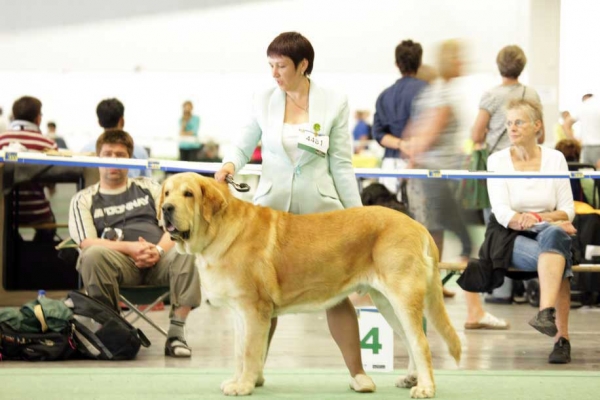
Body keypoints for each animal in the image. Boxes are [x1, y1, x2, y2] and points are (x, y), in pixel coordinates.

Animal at [158, 173, 460, 398]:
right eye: (166, 192)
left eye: (188, 194)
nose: (165, 209)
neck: (218, 230)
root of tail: (418, 226)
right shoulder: (239, 313)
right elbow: (239, 351)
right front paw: (237, 380)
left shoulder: (253, 309)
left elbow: (250, 351)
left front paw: (243, 386)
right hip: (386, 303)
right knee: (410, 340)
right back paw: (411, 379)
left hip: (402, 297)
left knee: (420, 342)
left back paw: (425, 388)